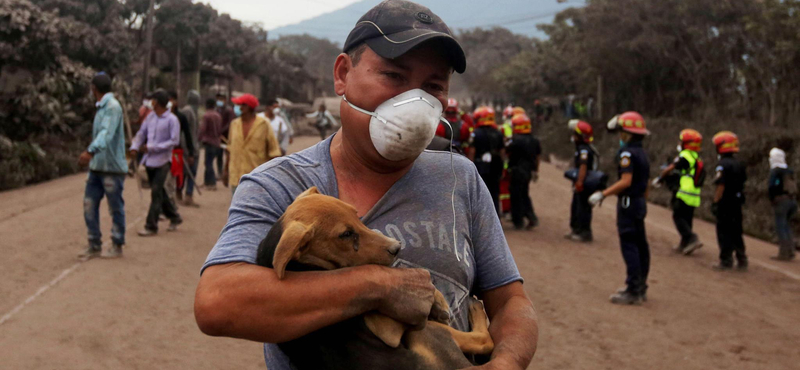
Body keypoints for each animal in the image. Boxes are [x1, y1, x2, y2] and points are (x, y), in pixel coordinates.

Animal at [256, 188, 494, 370]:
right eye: (345, 235)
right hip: (425, 332)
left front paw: (437, 302)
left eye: (355, 213)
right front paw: (435, 300)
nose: (397, 248)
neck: (301, 264)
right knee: (484, 341)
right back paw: (476, 310)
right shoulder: (387, 330)